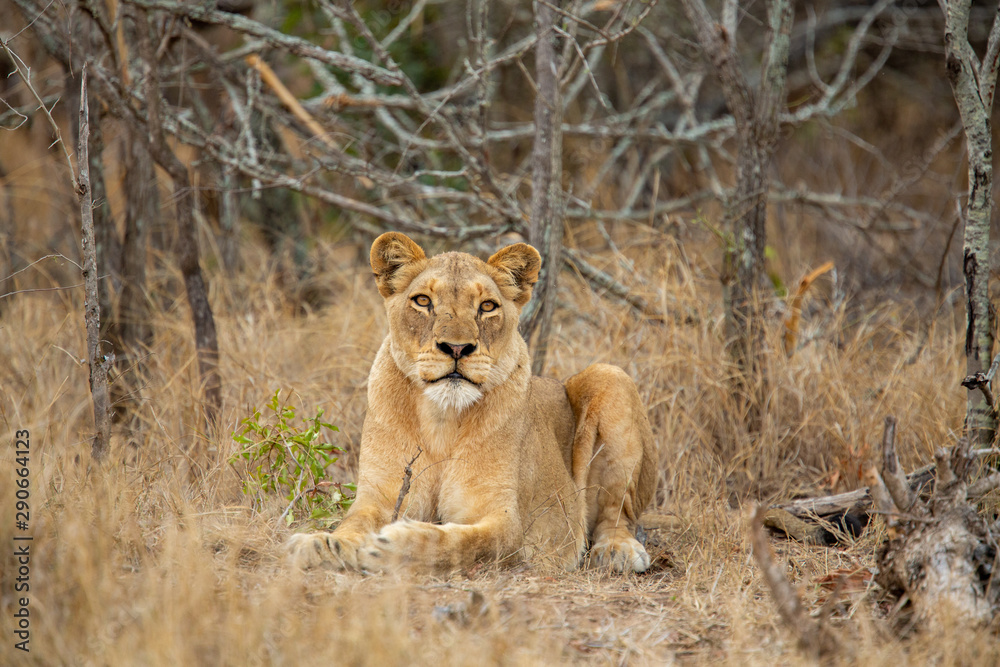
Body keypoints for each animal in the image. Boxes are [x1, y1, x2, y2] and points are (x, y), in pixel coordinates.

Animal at [287, 232, 658, 573]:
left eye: (487, 306)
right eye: (422, 301)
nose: (456, 347)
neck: (441, 420)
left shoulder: (506, 521)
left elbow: (462, 543)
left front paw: (395, 545)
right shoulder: (379, 496)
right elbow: (352, 523)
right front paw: (322, 544)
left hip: (610, 376)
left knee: (619, 514)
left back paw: (617, 551)